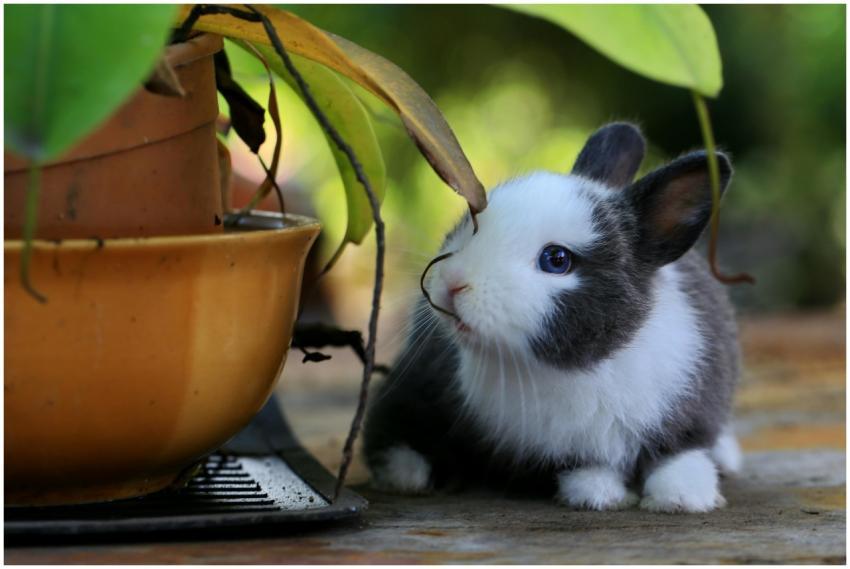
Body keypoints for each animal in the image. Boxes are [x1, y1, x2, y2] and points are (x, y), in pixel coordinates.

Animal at [363, 123, 742, 513]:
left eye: (556, 260)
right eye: (471, 222)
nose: (453, 282)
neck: (582, 368)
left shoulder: (692, 412)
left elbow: (680, 456)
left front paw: (683, 498)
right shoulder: (562, 451)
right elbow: (585, 467)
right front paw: (600, 496)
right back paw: (408, 475)